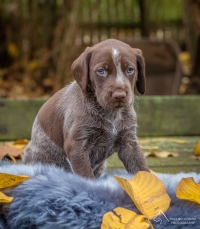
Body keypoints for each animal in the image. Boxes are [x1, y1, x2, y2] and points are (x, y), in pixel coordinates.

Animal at [23, 39, 148, 179]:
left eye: (130, 70)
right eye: (101, 71)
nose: (119, 95)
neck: (110, 113)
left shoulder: (129, 143)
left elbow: (143, 170)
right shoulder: (77, 145)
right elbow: (86, 176)